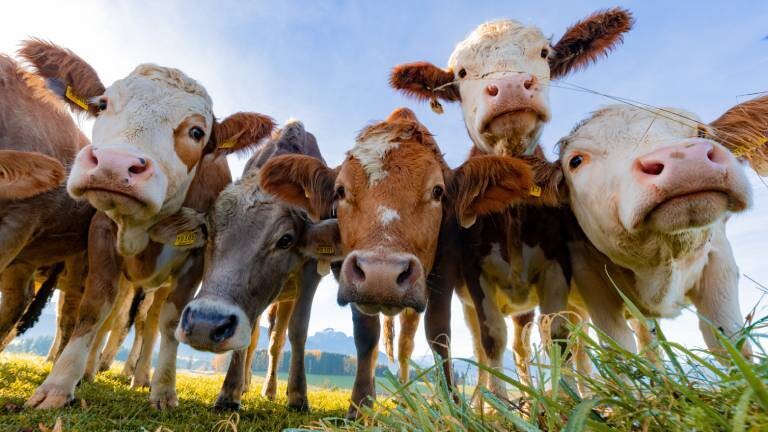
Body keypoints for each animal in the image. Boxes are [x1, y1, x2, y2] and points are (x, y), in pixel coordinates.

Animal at [18, 39, 276, 409]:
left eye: (197, 132)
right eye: (102, 105)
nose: (114, 163)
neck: (144, 228)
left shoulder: (196, 256)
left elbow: (169, 321)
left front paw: (164, 390)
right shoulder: (101, 235)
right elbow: (95, 309)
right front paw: (58, 385)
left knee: (151, 321)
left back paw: (141, 377)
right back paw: (90, 371)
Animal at [261, 107, 538, 418]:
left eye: (438, 191)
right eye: (341, 191)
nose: (381, 275)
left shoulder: (445, 266)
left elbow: (438, 333)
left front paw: (451, 402)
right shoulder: (349, 273)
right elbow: (366, 336)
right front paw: (360, 405)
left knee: (407, 343)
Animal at [388, 9, 633, 397]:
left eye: (545, 53)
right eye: (462, 72)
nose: (511, 86)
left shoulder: (556, 264)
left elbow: (557, 335)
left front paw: (561, 400)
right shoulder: (476, 273)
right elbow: (491, 341)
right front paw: (499, 404)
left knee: (522, 345)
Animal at [549, 98, 767, 358]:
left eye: (702, 132)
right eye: (576, 161)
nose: (684, 158)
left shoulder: (719, 257)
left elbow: (730, 342)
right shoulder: (589, 277)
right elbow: (621, 351)